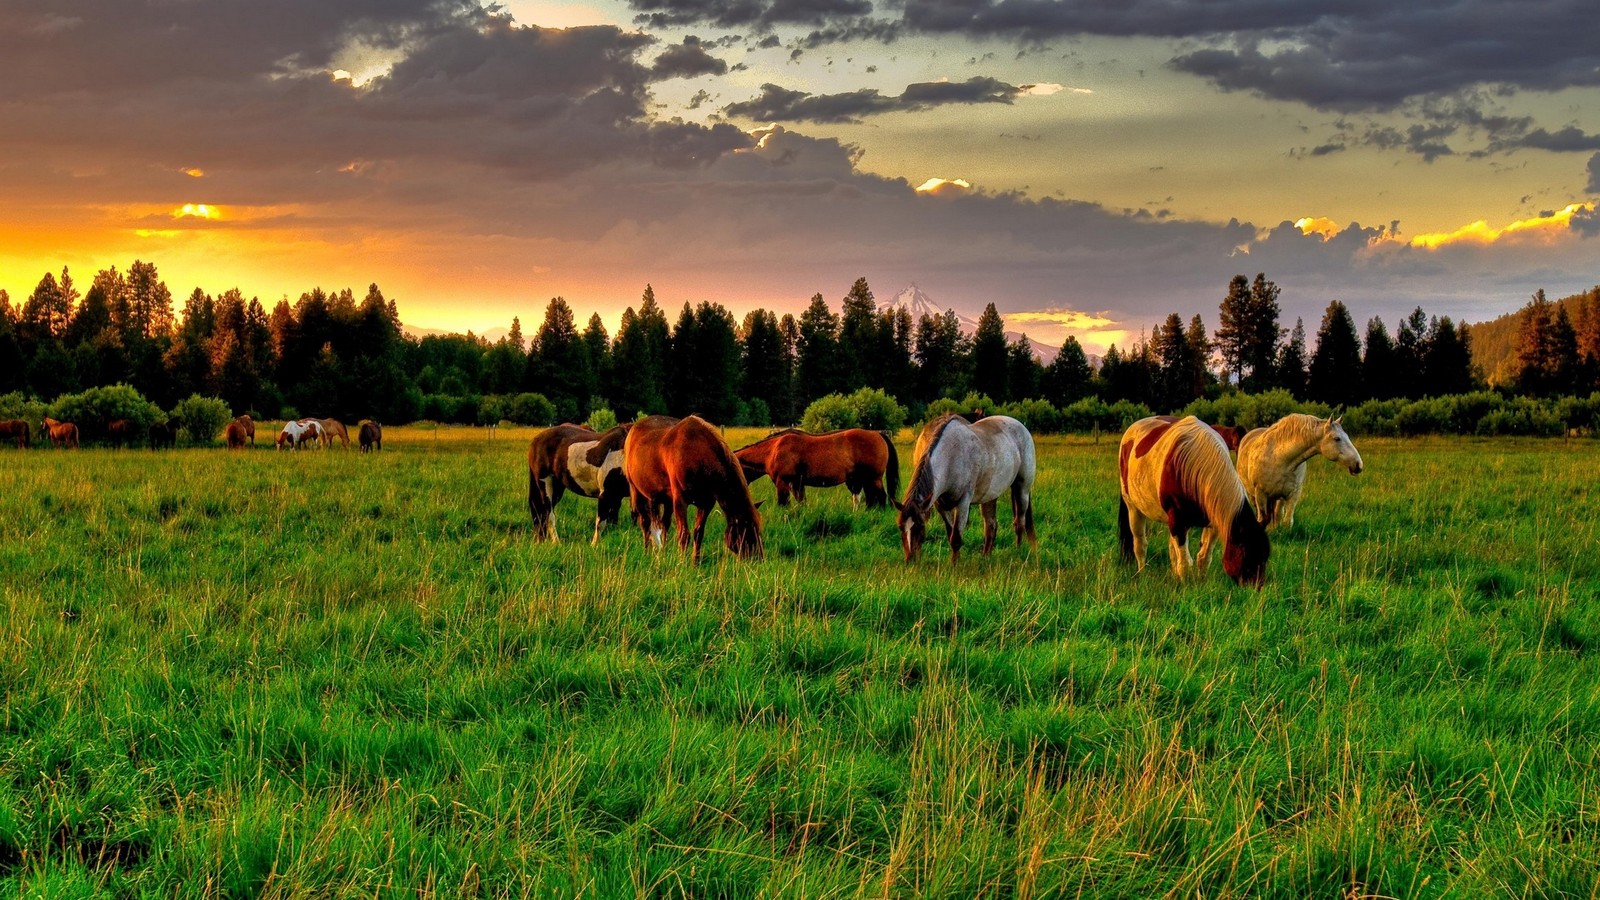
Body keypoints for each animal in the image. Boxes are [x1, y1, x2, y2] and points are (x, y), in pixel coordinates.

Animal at [624, 416, 761, 560]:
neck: (698, 455)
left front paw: (695, 561)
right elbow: (684, 534)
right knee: (645, 523)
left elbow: (698, 533)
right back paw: (646, 552)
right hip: (636, 491)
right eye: (747, 528)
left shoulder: (706, 503)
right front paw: (682, 562)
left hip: (665, 500)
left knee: (664, 524)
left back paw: (663, 552)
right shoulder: (680, 501)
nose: (759, 559)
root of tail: (633, 428)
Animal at [736, 425, 902, 509]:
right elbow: (802, 503)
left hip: (873, 479)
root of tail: (878, 434)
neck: (773, 450)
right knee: (871, 499)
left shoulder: (782, 482)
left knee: (880, 498)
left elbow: (783, 505)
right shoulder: (797, 484)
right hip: (866, 480)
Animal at [889, 413, 1036, 560]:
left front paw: (955, 564)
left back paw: (1017, 552)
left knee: (1019, 523)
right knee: (991, 526)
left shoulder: (963, 503)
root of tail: (1021, 426)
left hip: (1022, 489)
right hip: (990, 495)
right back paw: (986, 558)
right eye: (900, 527)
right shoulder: (940, 505)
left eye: (919, 526)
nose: (910, 560)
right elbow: (951, 534)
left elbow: (956, 538)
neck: (950, 456)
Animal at [1120, 413, 1267, 582]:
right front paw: (1185, 585)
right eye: (1248, 557)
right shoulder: (1178, 521)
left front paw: (1200, 583)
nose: (1258, 586)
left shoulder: (1212, 522)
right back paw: (1142, 573)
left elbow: (1204, 557)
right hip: (1133, 509)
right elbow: (1185, 563)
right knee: (1140, 544)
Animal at [1235, 413, 1363, 528]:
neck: (1280, 459)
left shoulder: (1293, 494)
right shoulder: (1260, 494)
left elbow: (1286, 522)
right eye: (1337, 439)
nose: (1358, 465)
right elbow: (1262, 519)